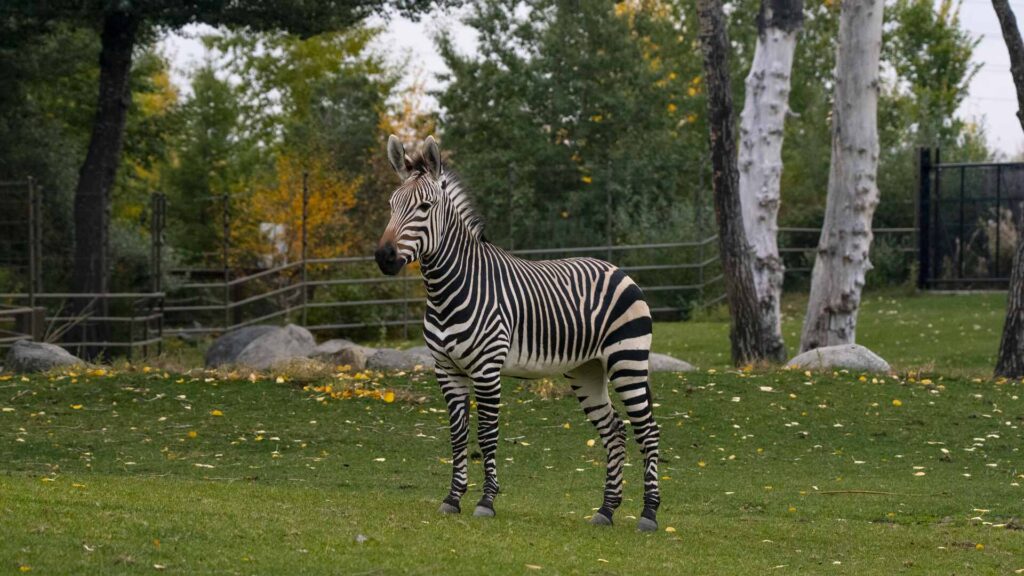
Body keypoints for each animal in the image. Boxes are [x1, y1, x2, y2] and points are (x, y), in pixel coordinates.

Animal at [375, 135, 661, 531]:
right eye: (391, 205)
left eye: (424, 207)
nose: (384, 257)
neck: (448, 288)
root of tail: (616, 268)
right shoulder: (446, 370)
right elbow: (457, 436)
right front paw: (452, 499)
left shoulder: (486, 370)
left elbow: (487, 434)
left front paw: (486, 501)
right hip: (587, 370)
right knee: (615, 430)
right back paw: (605, 510)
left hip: (627, 361)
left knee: (647, 431)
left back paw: (649, 514)